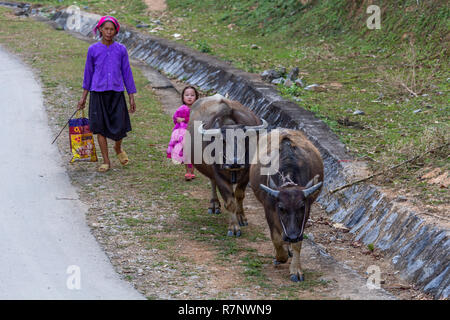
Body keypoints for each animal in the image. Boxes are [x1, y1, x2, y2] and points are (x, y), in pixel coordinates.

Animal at [186, 94, 268, 236]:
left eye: (243, 139)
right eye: (223, 141)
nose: (234, 161)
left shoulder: (246, 174)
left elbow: (239, 195)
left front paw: (242, 218)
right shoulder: (219, 175)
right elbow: (230, 202)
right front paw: (234, 227)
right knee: (212, 181)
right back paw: (214, 205)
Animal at [250, 129, 324, 282]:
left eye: (301, 207)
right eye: (281, 208)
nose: (292, 236)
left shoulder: (305, 214)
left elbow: (297, 244)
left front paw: (296, 270)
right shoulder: (269, 210)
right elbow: (276, 238)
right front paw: (280, 256)